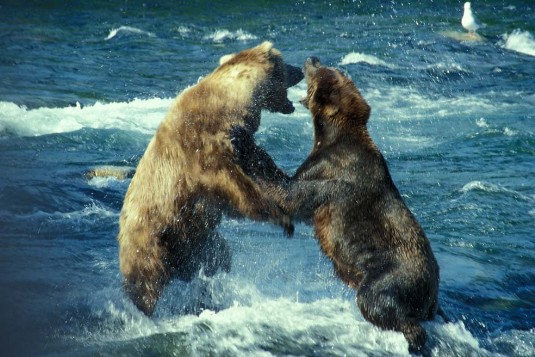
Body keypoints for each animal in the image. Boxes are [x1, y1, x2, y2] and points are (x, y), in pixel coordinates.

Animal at [117, 41, 304, 314]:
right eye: (285, 63)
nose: (300, 70)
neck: (229, 105)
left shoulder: (241, 140)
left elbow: (262, 164)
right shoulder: (202, 147)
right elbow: (235, 186)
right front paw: (282, 217)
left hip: (199, 241)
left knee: (219, 257)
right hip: (151, 240)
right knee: (145, 284)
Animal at [234, 57, 448, 352]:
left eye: (321, 72)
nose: (312, 58)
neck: (330, 135)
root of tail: (432, 292)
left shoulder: (330, 172)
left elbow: (290, 194)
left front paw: (242, 139)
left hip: (391, 275)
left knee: (378, 302)